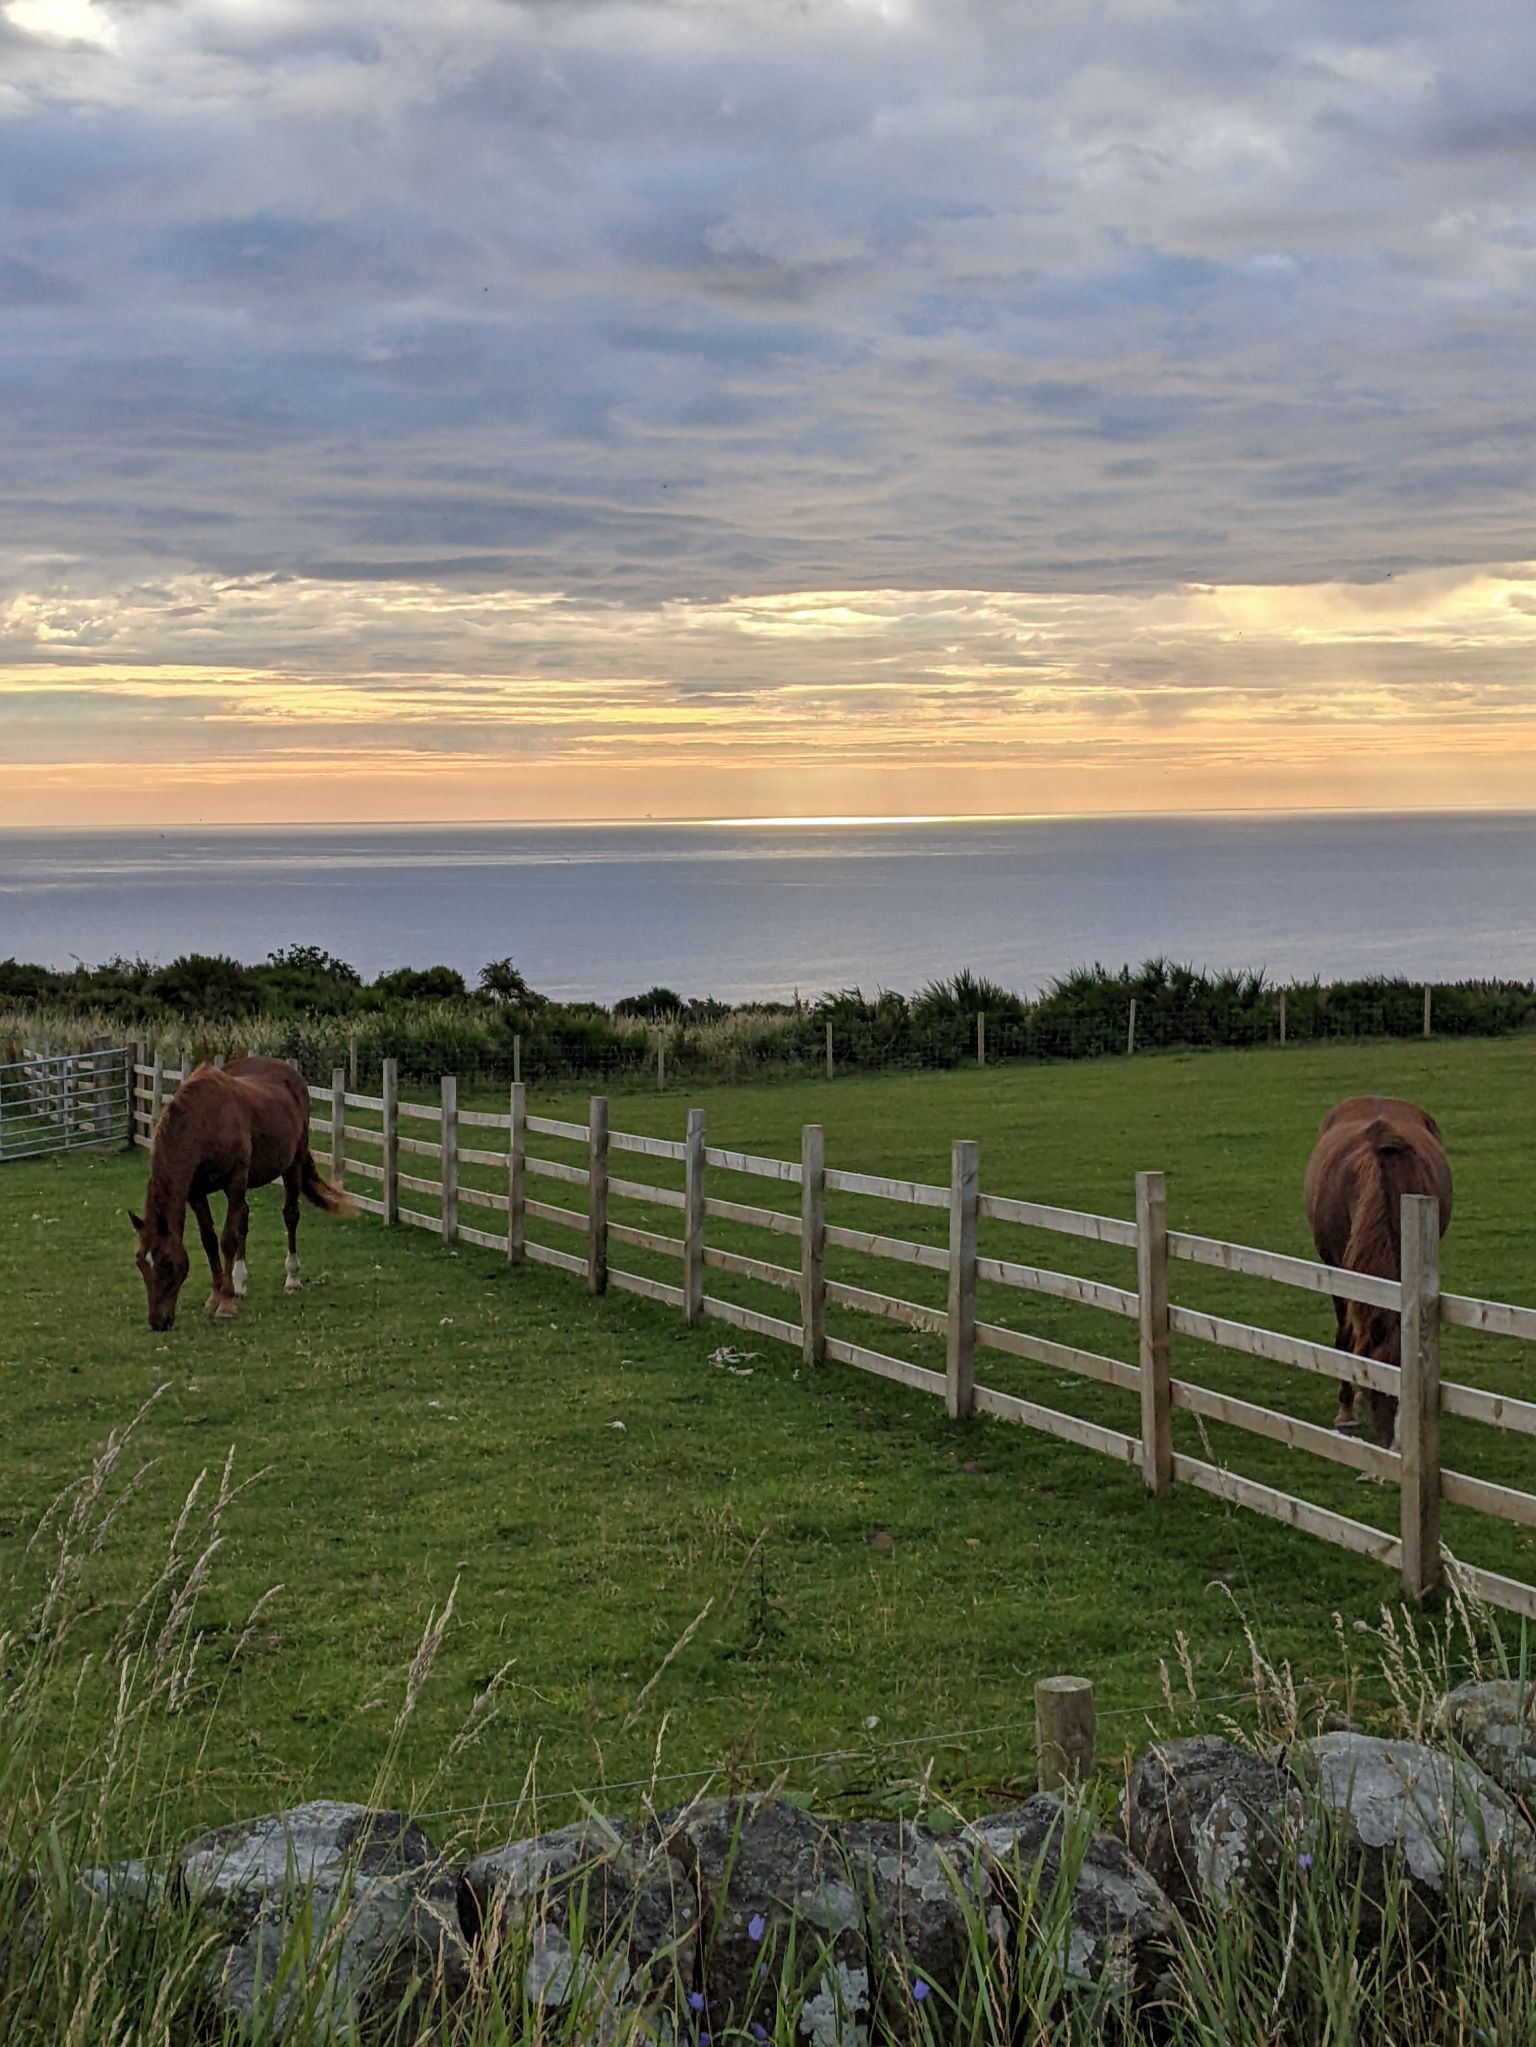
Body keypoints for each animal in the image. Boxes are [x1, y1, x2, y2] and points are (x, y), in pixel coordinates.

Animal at [129, 1064, 352, 1334]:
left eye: (167, 1263)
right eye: (140, 1262)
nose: (157, 1321)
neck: (204, 1121)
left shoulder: (234, 1183)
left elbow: (227, 1240)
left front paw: (225, 1304)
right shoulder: (196, 1193)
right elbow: (209, 1240)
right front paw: (215, 1297)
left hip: (293, 1165)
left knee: (290, 1216)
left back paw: (291, 1278)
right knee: (244, 1218)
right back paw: (240, 1282)